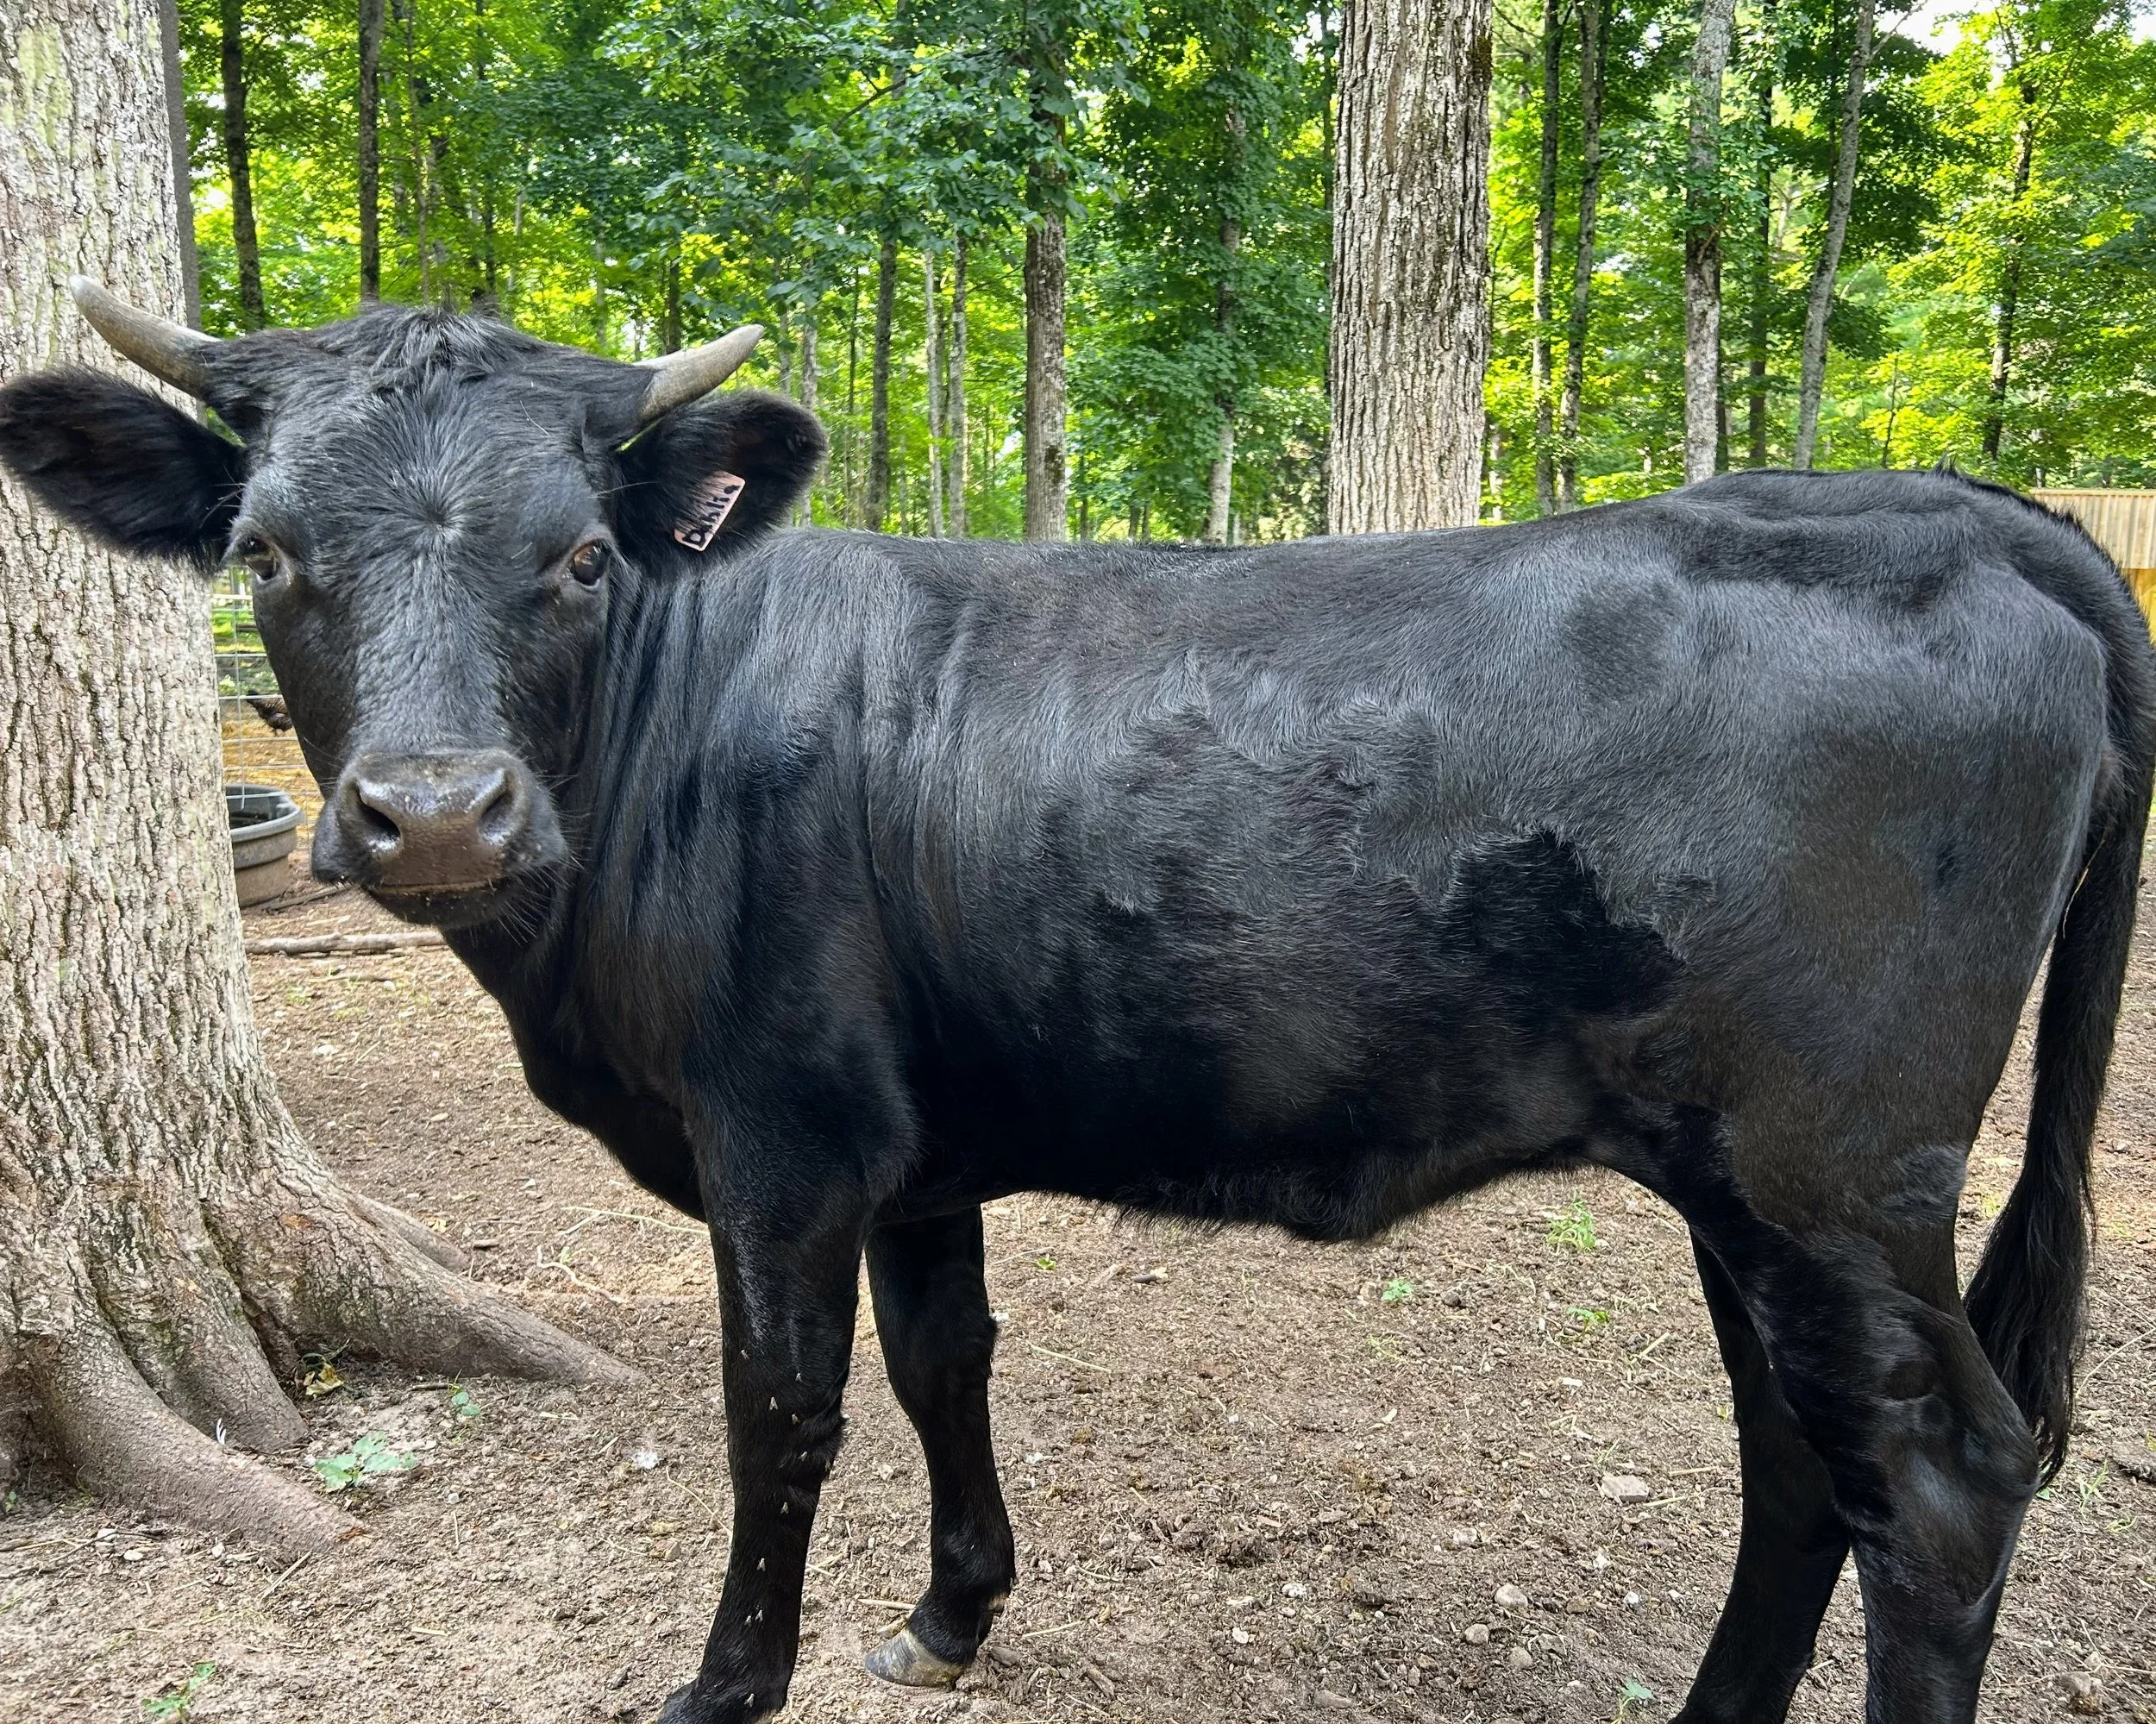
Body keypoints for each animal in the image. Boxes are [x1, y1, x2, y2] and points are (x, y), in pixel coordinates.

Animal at [3, 280, 2150, 1724]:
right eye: (267, 553)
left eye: (585, 553)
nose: (436, 811)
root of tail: (1972, 509)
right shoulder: (910, 1144)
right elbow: (943, 1363)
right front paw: (952, 1616)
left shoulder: (777, 1137)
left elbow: (777, 1410)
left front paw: (726, 1683)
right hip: (1742, 1180)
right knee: (1798, 1465)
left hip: (1830, 1169)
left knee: (1933, 1487)